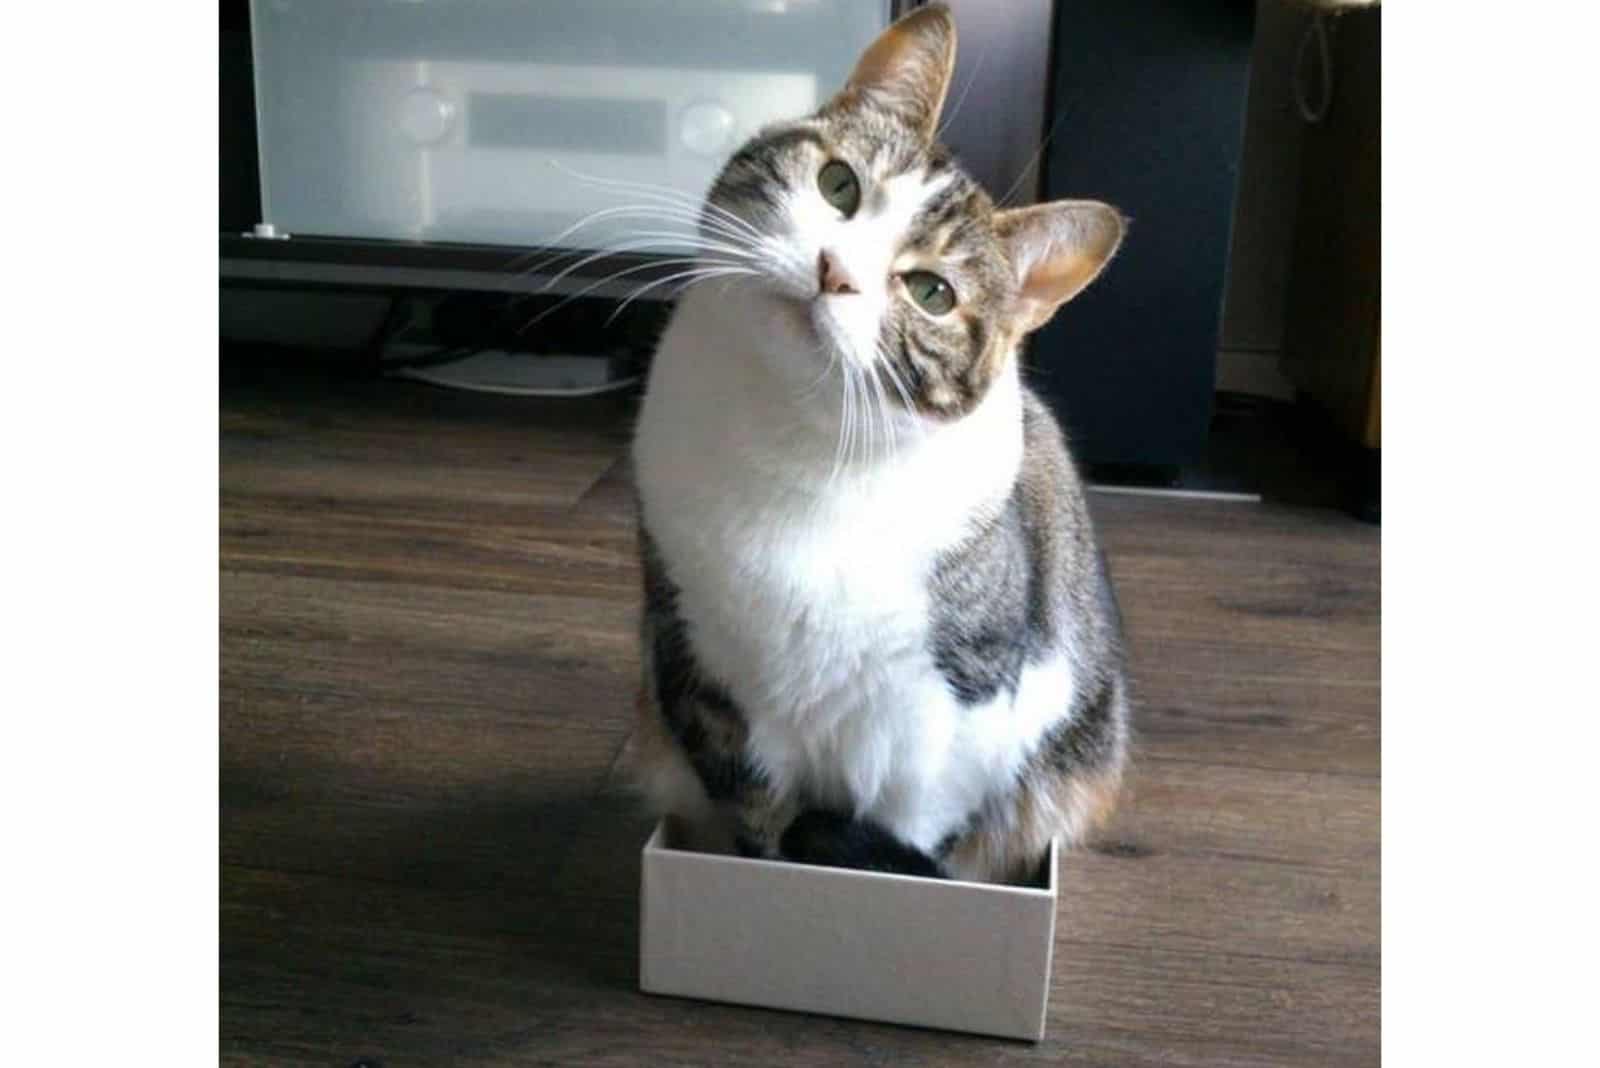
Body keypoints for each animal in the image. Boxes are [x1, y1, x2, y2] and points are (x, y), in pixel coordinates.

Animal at [630, 2, 1132, 882]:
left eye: (932, 293)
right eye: (839, 185)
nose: (836, 271)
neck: (795, 439)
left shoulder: (956, 712)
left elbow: (913, 825)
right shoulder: (700, 669)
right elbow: (757, 821)